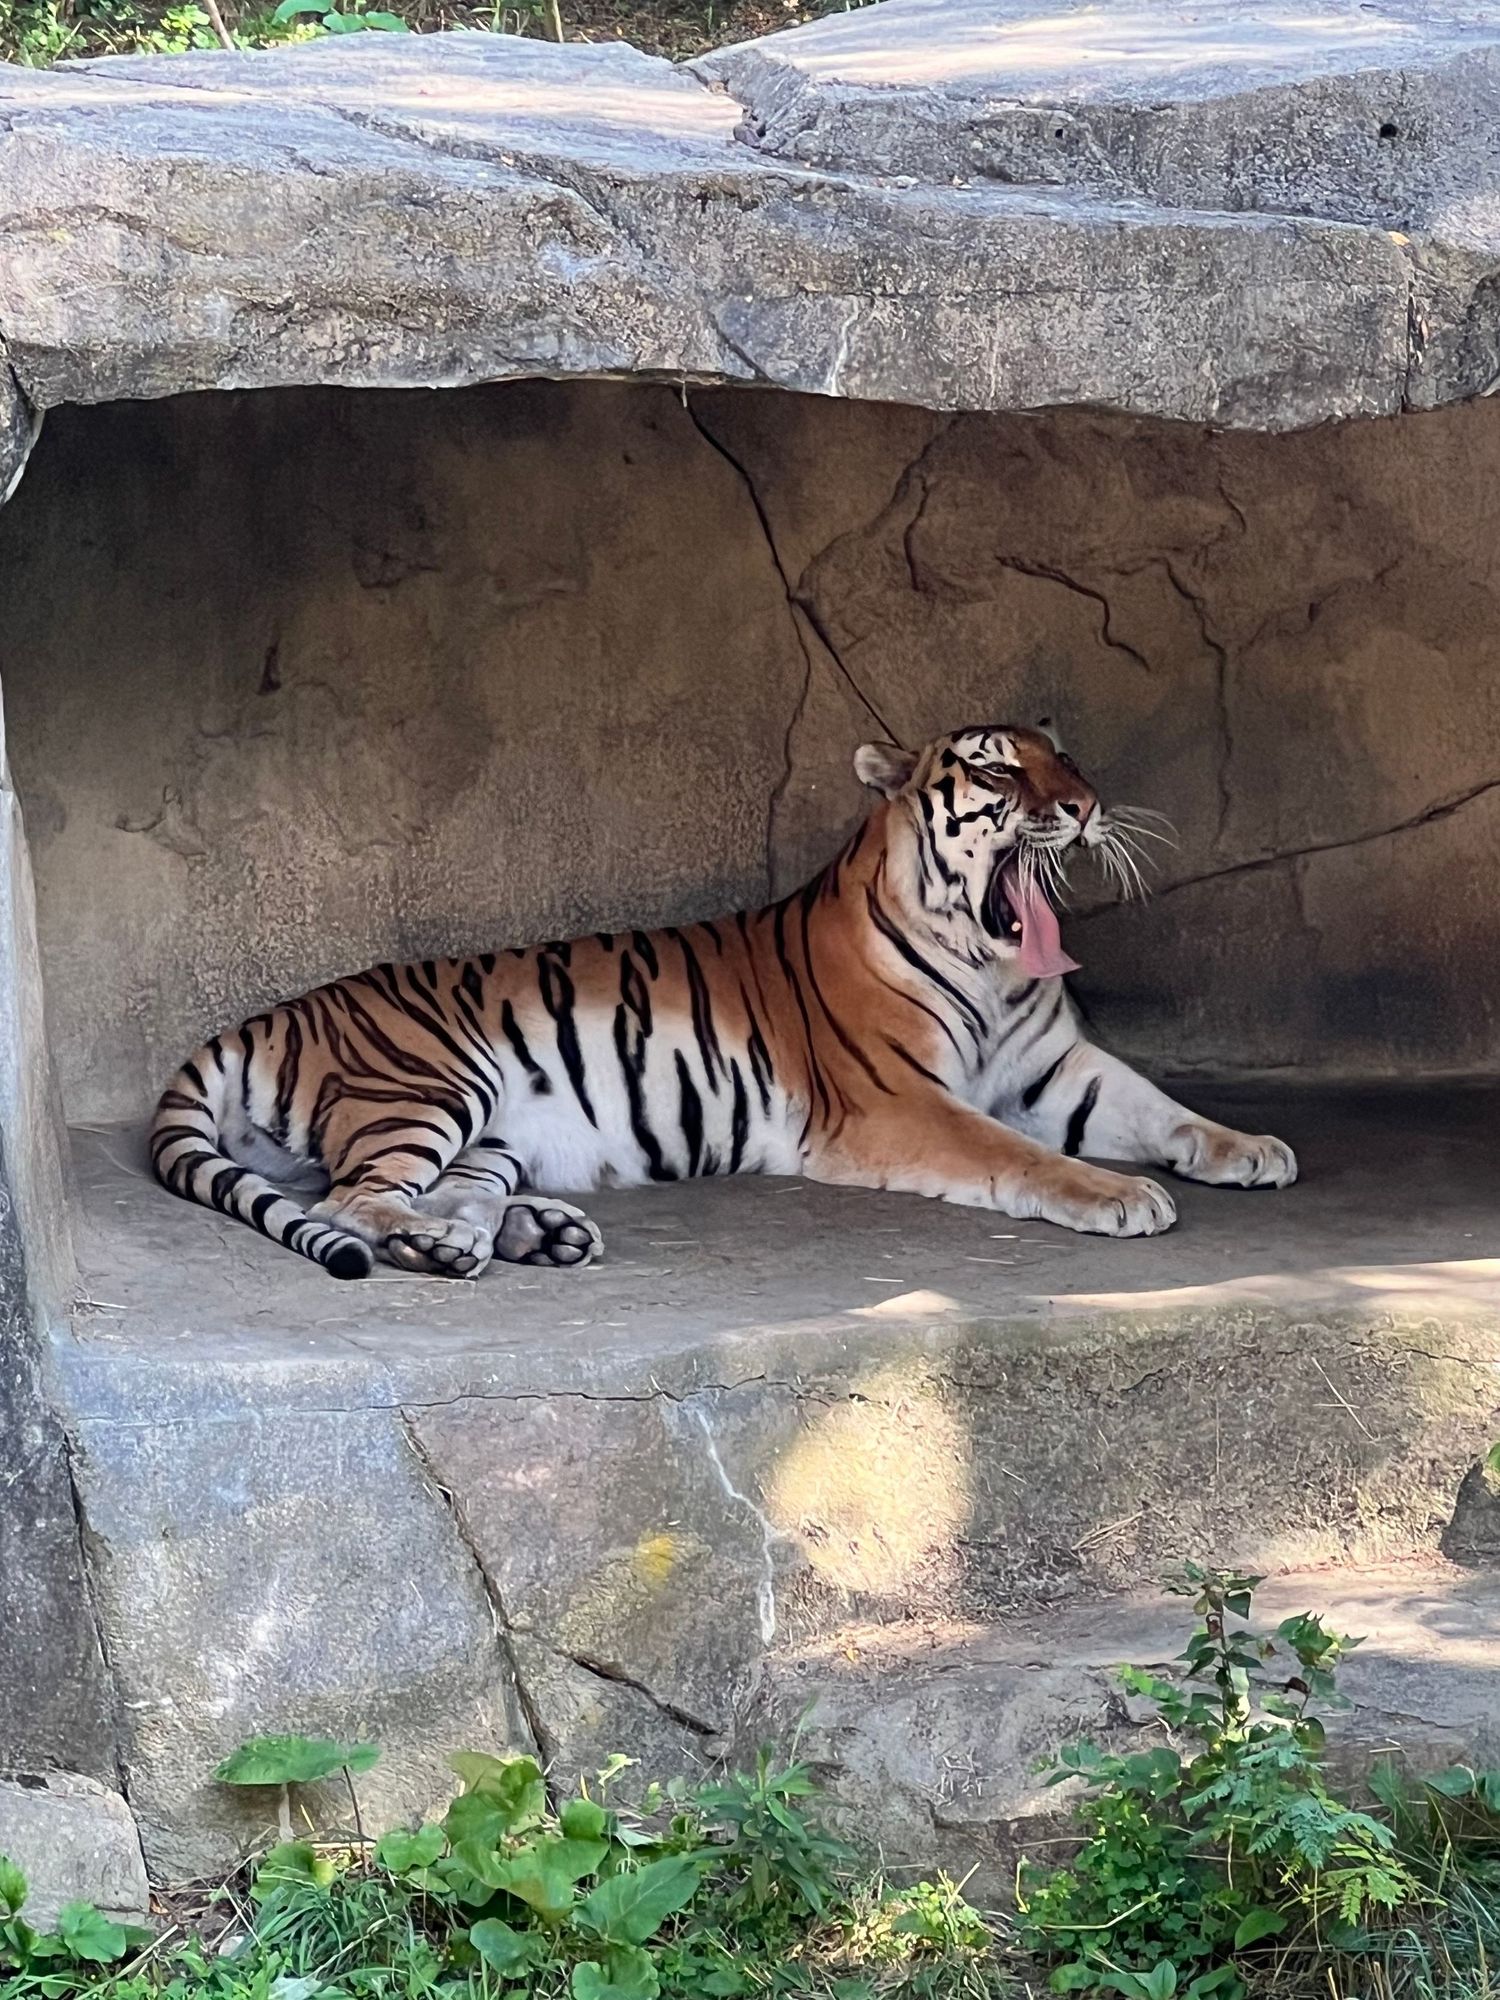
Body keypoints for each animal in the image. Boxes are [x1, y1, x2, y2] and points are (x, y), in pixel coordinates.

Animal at [150, 723, 1297, 1281]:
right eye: (999, 771)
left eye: (1069, 758)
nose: (1087, 805)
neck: (990, 959)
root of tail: (264, 1015)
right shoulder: (898, 1100)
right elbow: (1017, 1155)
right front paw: (1122, 1197)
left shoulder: (1057, 1067)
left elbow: (1159, 1106)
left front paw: (1251, 1148)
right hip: (427, 1086)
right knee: (343, 1202)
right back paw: (451, 1246)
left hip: (488, 1139)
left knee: (439, 1197)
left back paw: (519, 1238)